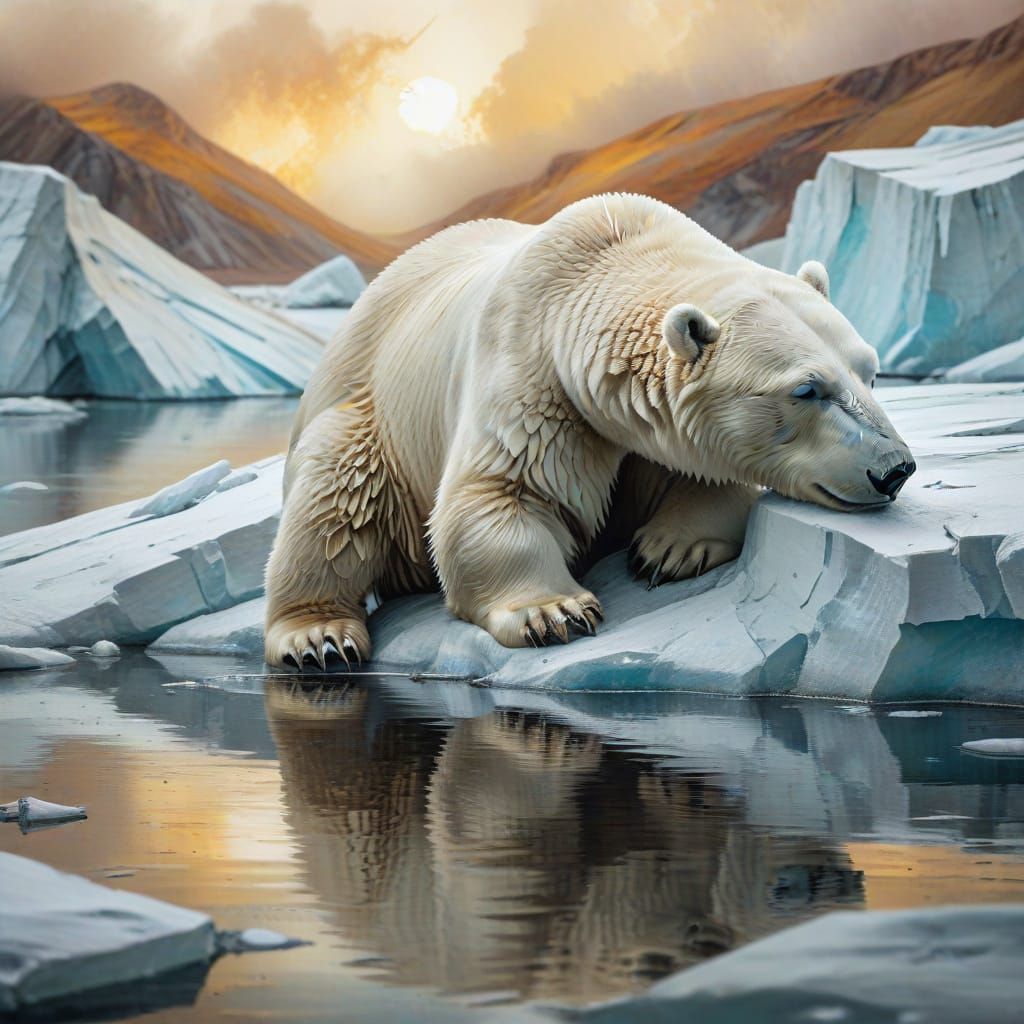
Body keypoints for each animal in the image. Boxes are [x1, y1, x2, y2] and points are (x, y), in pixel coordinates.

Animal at [264, 193, 915, 670]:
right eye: (807, 390)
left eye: (870, 371)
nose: (895, 469)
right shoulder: (532, 374)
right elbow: (497, 496)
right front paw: (555, 613)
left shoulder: (641, 427)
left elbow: (706, 473)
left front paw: (670, 548)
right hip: (366, 414)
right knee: (337, 498)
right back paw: (319, 637)